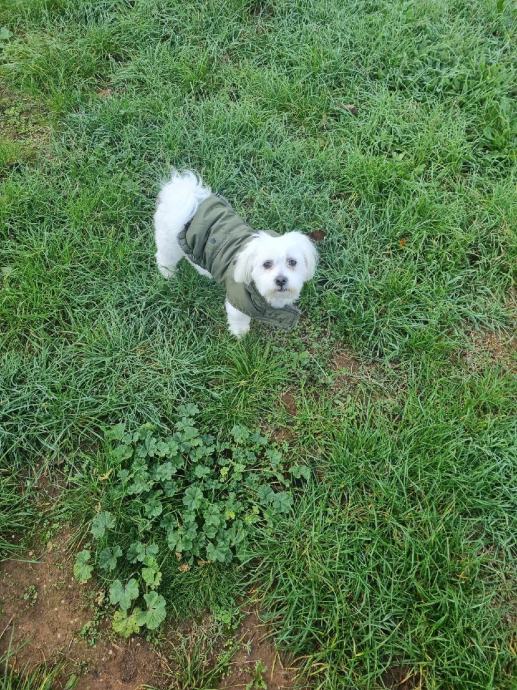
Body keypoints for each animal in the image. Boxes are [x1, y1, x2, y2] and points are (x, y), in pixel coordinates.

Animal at [154, 170, 318, 338]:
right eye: (266, 264)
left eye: (292, 262)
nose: (281, 280)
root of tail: (183, 191)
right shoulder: (237, 303)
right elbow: (239, 320)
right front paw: (240, 334)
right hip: (169, 242)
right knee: (164, 257)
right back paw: (168, 273)